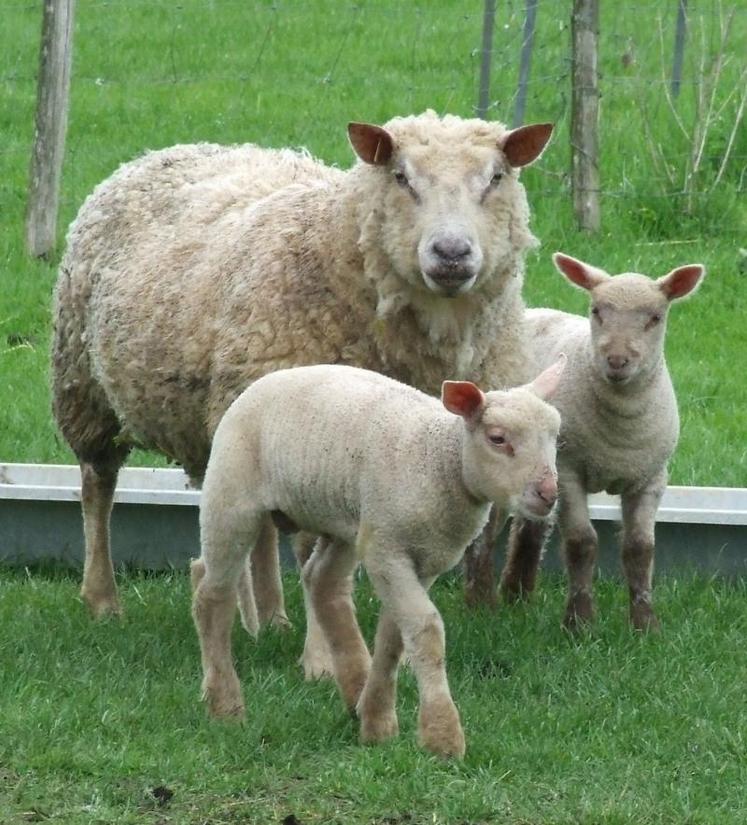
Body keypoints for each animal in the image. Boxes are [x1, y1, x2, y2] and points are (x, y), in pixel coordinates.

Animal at [190, 362, 564, 760]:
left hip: (345, 520)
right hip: (232, 497)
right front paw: (443, 736)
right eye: (497, 438)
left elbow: (393, 637)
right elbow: (426, 629)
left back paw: (355, 690)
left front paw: (378, 723)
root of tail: (267, 380)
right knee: (213, 596)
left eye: (555, 436)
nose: (549, 494)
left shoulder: (422, 560)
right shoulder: (387, 550)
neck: (440, 460)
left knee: (321, 584)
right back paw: (225, 705)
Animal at [496, 249, 708, 624]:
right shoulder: (569, 472)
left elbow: (640, 548)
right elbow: (582, 543)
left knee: (530, 526)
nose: (617, 360)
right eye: (596, 311)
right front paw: (579, 621)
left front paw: (644, 623)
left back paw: (517, 595)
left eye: (655, 318)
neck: (621, 431)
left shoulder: (651, 477)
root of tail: (531, 311)